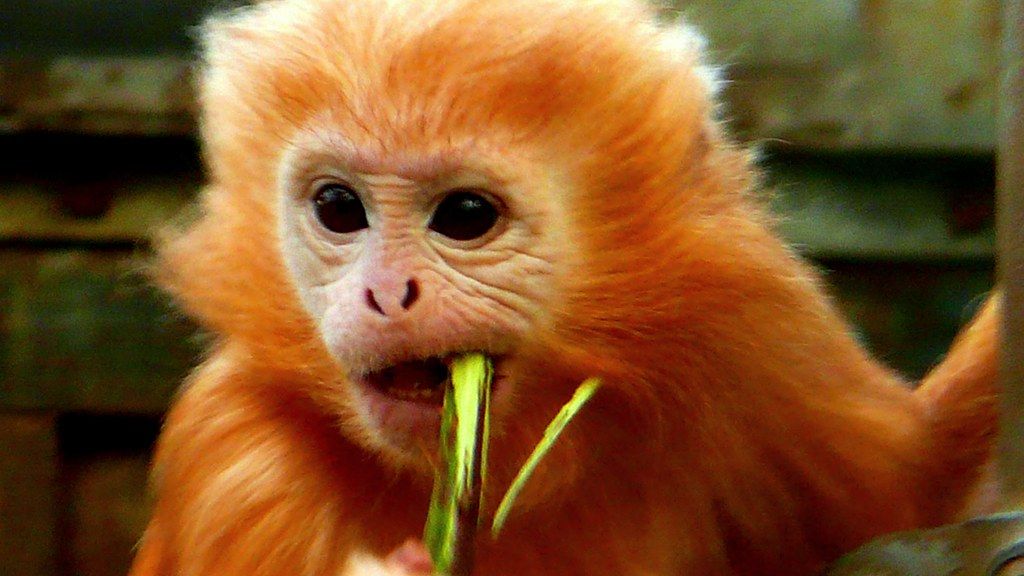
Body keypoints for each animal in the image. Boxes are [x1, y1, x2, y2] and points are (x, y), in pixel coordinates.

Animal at [129, 0, 1001, 574]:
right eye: (340, 209)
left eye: (466, 216)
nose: (386, 295)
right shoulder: (239, 460)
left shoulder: (754, 347)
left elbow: (916, 511)